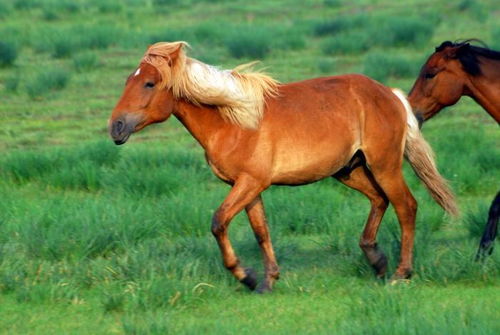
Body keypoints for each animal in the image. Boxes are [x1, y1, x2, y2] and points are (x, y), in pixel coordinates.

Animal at [108, 42, 458, 292]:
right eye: (128, 80)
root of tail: (392, 95)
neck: (233, 120)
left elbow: (218, 222)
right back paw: (377, 261)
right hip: (349, 170)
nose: (116, 127)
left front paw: (246, 276)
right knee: (379, 200)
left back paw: (400, 273)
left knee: (406, 206)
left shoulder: (251, 183)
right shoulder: (248, 186)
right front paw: (267, 281)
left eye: (150, 83)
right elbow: (261, 232)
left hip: (384, 166)